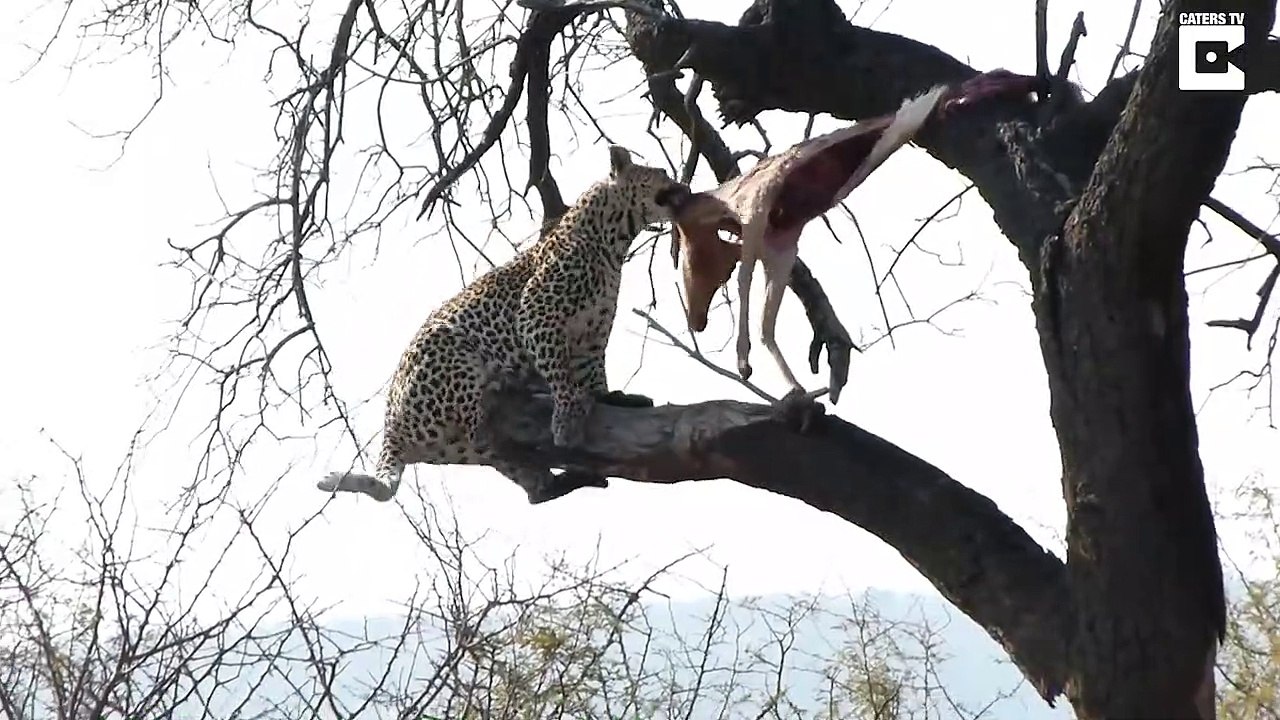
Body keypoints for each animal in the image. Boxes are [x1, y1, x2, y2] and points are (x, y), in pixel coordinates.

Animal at [317, 145, 693, 505]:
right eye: (661, 173)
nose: (685, 187)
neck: (614, 241)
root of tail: (390, 428)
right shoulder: (537, 317)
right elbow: (561, 373)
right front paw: (568, 417)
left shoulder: (592, 333)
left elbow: (593, 371)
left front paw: (611, 397)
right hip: (448, 353)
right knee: (479, 427)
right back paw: (510, 388)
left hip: (481, 454)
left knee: (536, 492)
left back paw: (579, 475)